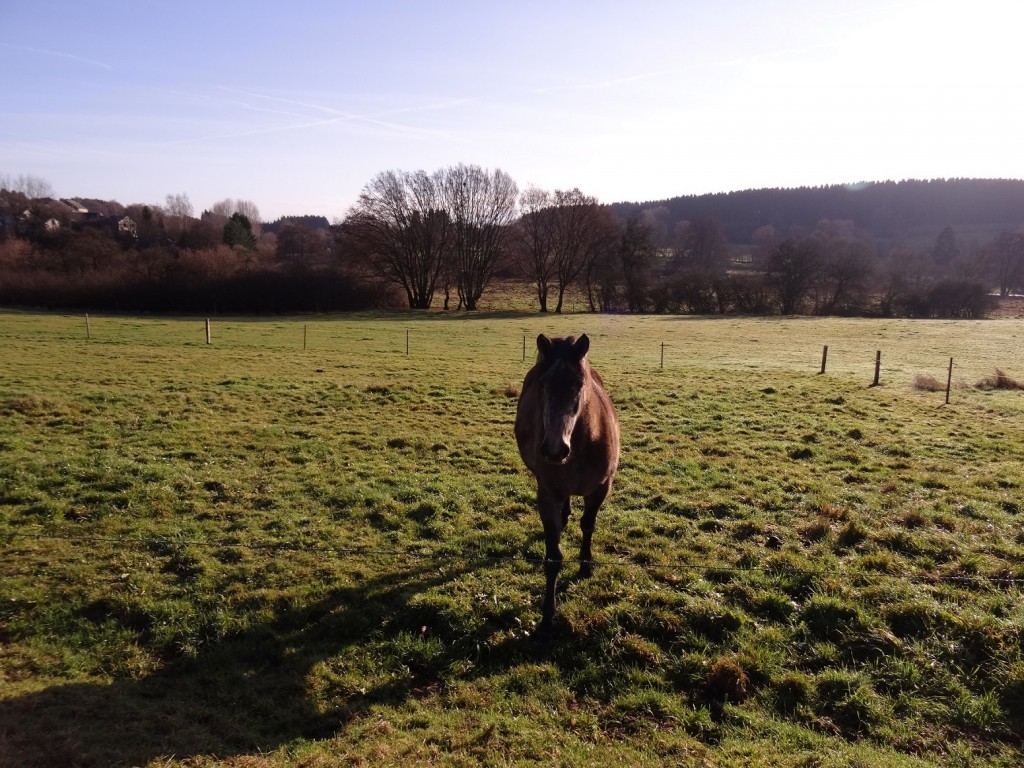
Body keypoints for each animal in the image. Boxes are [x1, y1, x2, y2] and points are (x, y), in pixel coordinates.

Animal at [516, 333, 618, 638]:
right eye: (543, 384)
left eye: (578, 384)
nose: (554, 449)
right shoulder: (548, 494)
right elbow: (554, 556)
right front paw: (547, 616)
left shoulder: (600, 489)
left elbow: (588, 525)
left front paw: (585, 564)